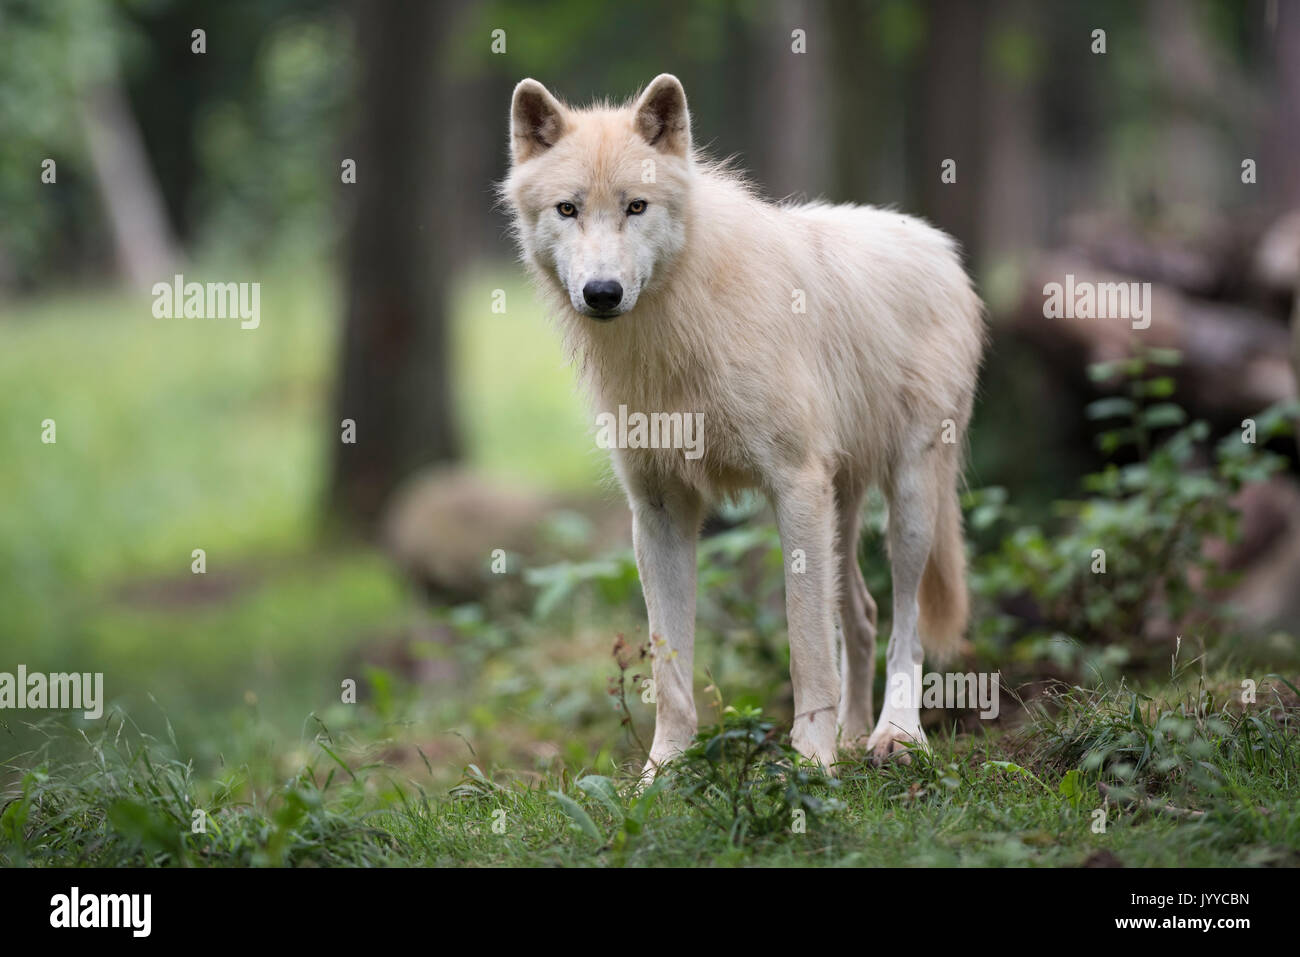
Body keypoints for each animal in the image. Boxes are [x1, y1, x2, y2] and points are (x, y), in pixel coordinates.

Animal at [501, 78, 977, 774]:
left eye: (636, 207)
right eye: (567, 209)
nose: (603, 292)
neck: (675, 333)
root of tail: (939, 245)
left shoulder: (794, 486)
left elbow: (806, 649)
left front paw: (812, 765)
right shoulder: (660, 511)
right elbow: (670, 670)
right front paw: (662, 775)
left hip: (909, 502)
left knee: (905, 630)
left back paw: (894, 736)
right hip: (841, 507)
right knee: (862, 616)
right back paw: (854, 737)